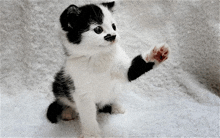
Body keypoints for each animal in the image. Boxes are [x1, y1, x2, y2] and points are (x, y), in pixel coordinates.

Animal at [46, 1, 170, 137]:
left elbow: (133, 69)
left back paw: (114, 106)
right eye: (98, 29)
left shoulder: (121, 67)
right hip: (59, 83)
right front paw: (92, 133)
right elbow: (88, 113)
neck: (98, 57)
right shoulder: (80, 88)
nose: (114, 36)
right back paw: (68, 111)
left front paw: (156, 55)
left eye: (114, 26)